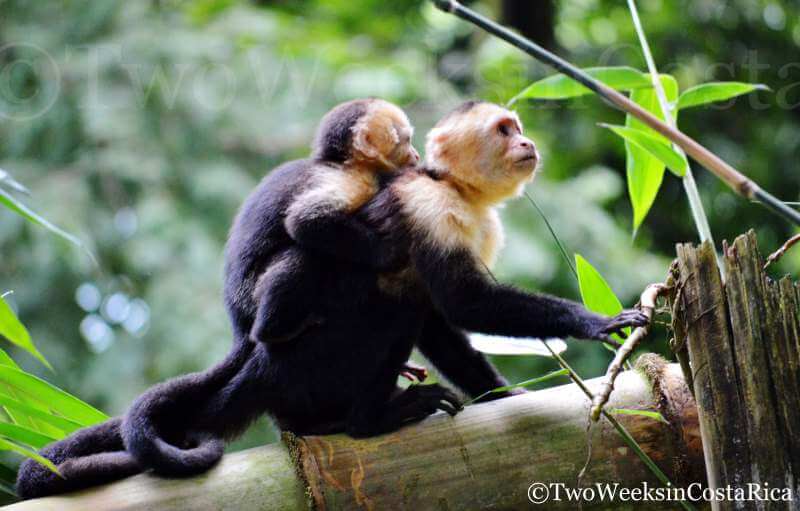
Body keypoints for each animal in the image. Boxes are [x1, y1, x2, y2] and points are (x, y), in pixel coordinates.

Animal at [16, 98, 421, 499]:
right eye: (403, 141)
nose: (415, 155)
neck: (342, 163)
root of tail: (240, 326)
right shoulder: (346, 181)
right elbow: (309, 223)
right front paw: (389, 252)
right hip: (258, 300)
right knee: (306, 256)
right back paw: (274, 329)